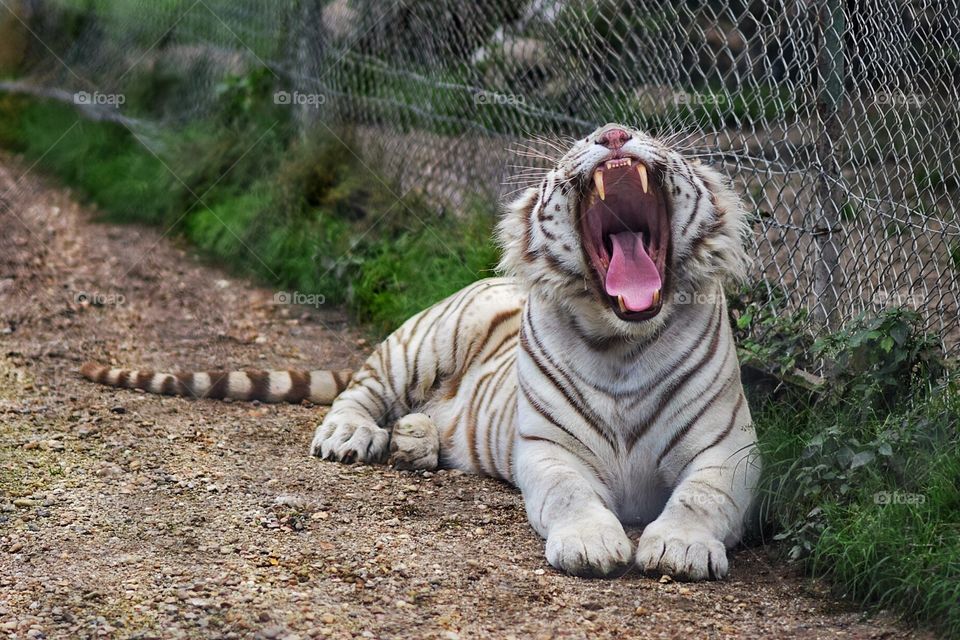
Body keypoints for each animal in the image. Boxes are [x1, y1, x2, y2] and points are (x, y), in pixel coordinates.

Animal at [81, 123, 759, 580]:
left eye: (651, 138)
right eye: (577, 147)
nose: (615, 134)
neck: (625, 340)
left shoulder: (729, 449)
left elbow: (702, 496)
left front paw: (680, 548)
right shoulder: (550, 450)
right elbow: (570, 494)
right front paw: (592, 545)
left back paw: (412, 441)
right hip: (423, 341)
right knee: (360, 391)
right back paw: (354, 438)